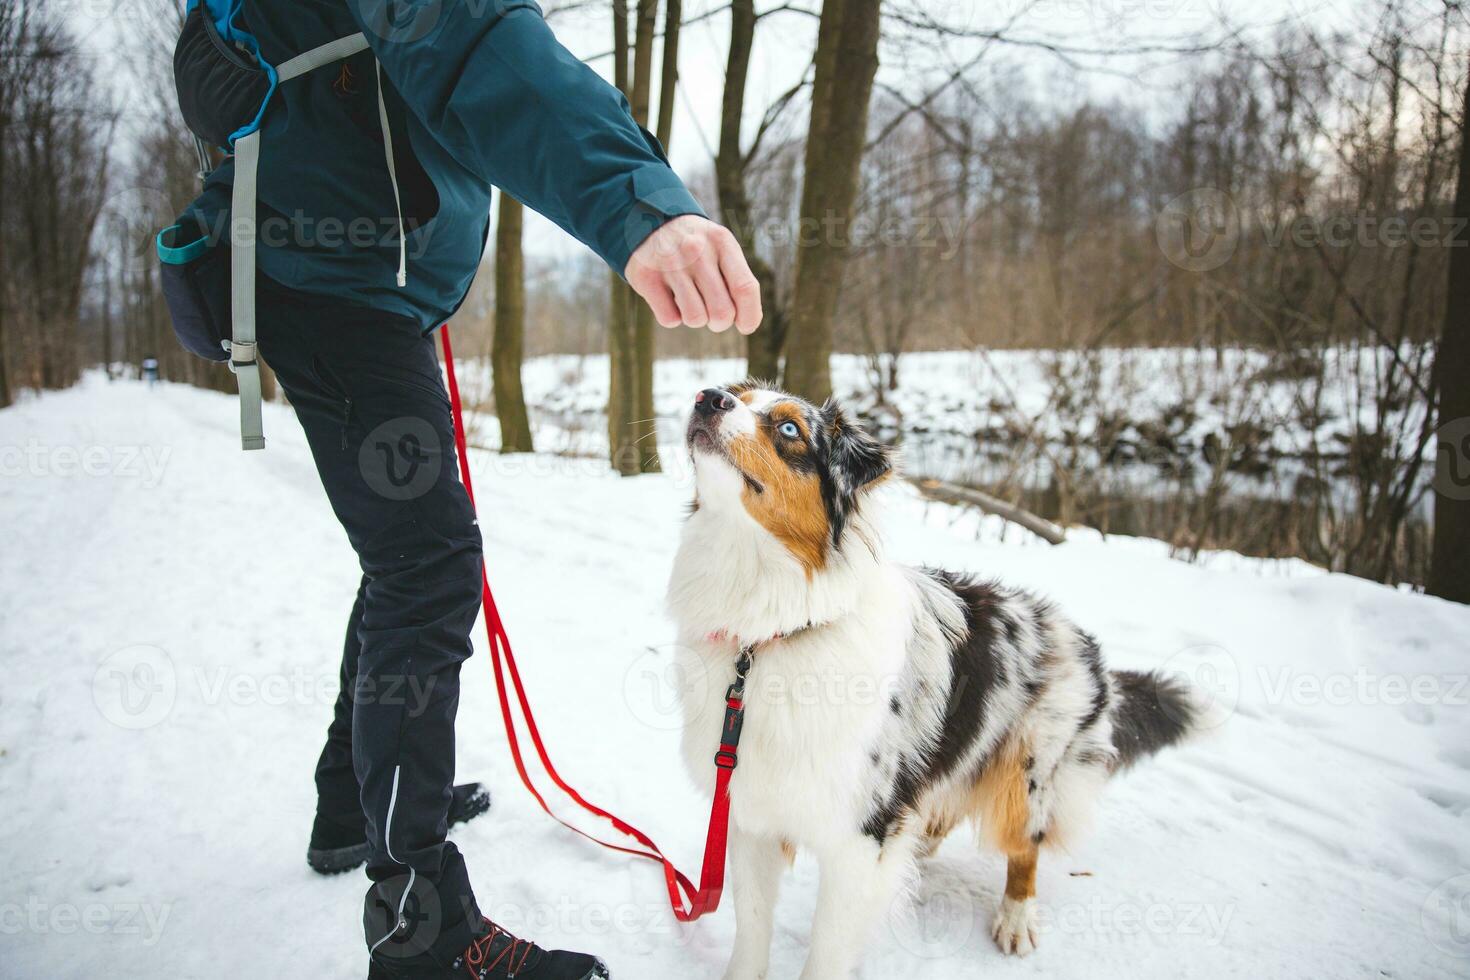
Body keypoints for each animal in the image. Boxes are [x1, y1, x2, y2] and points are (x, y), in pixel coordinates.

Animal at [670, 382, 1217, 980]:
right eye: (737, 392)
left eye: (789, 428)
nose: (707, 396)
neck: (770, 633)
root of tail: (1084, 642)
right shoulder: (750, 812)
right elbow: (751, 929)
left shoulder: (861, 834)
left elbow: (827, 953)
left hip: (1030, 769)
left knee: (1025, 847)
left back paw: (1016, 918)